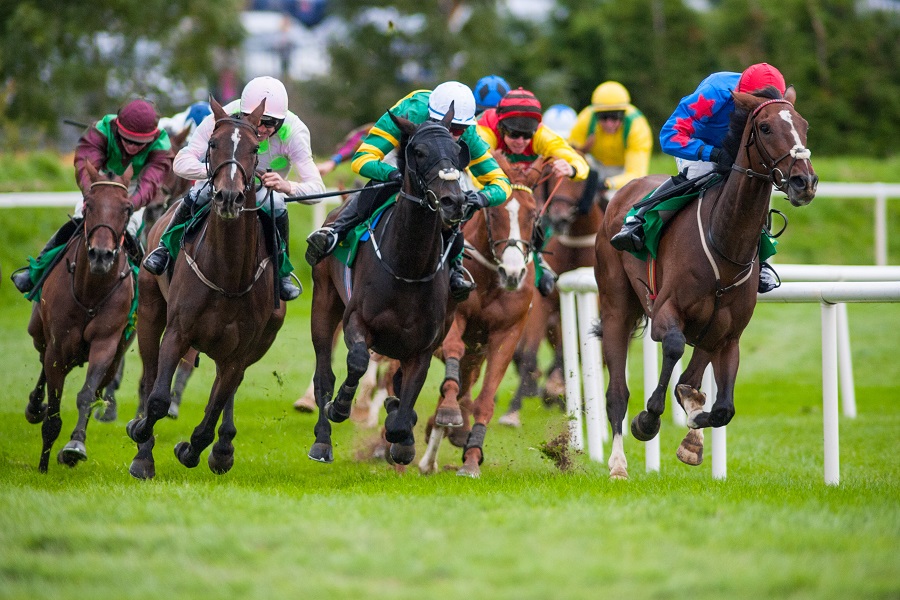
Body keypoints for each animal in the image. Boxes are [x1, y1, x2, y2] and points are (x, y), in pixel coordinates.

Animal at [24, 164, 135, 474]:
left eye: (128, 208)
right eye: (88, 204)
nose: (101, 255)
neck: (91, 291)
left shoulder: (106, 343)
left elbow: (87, 394)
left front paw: (74, 447)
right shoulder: (58, 345)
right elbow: (53, 406)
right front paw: (43, 465)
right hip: (39, 333)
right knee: (42, 363)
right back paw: (33, 407)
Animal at [126, 99, 284, 482]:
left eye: (254, 149)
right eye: (213, 144)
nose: (228, 196)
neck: (227, 273)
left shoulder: (241, 349)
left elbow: (212, 412)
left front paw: (193, 449)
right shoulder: (178, 331)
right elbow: (157, 398)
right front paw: (142, 444)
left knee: (225, 392)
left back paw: (223, 448)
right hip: (150, 312)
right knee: (150, 376)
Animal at [306, 113, 468, 468]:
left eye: (457, 150)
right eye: (419, 151)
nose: (454, 201)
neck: (408, 268)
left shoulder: (423, 346)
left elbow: (404, 406)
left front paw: (402, 438)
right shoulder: (357, 321)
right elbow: (356, 361)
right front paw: (341, 406)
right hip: (323, 303)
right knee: (324, 374)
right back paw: (322, 440)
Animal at [596, 86, 820, 478]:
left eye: (804, 125)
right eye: (764, 127)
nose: (803, 182)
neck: (726, 245)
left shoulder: (728, 336)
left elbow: (720, 406)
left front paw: (692, 431)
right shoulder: (665, 313)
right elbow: (671, 349)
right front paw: (648, 419)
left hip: (707, 330)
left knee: (692, 376)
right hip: (616, 308)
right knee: (617, 393)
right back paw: (618, 464)